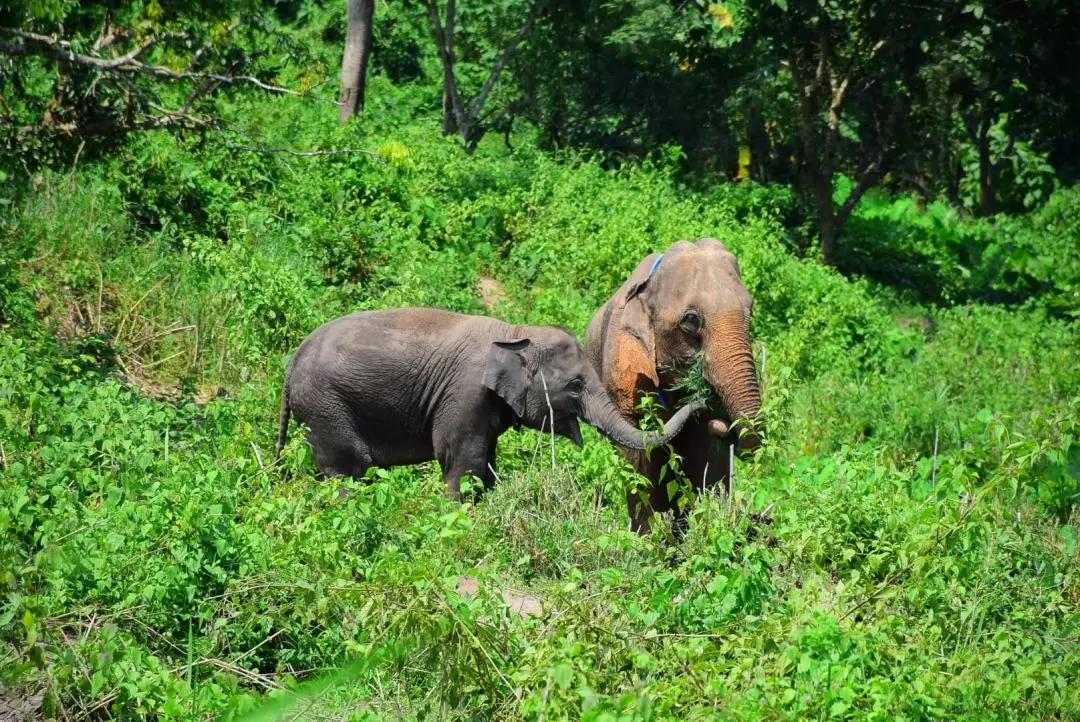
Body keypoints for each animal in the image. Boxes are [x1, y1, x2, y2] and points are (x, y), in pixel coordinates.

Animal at [274, 306, 704, 500]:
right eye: (575, 385)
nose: (701, 400)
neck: (516, 331)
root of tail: (291, 365)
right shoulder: (465, 396)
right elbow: (462, 461)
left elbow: (488, 463)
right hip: (327, 407)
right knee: (347, 471)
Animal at [587, 239, 764, 533]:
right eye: (691, 320)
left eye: (751, 311)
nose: (722, 422)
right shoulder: (622, 365)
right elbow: (637, 451)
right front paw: (648, 539)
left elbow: (705, 459)